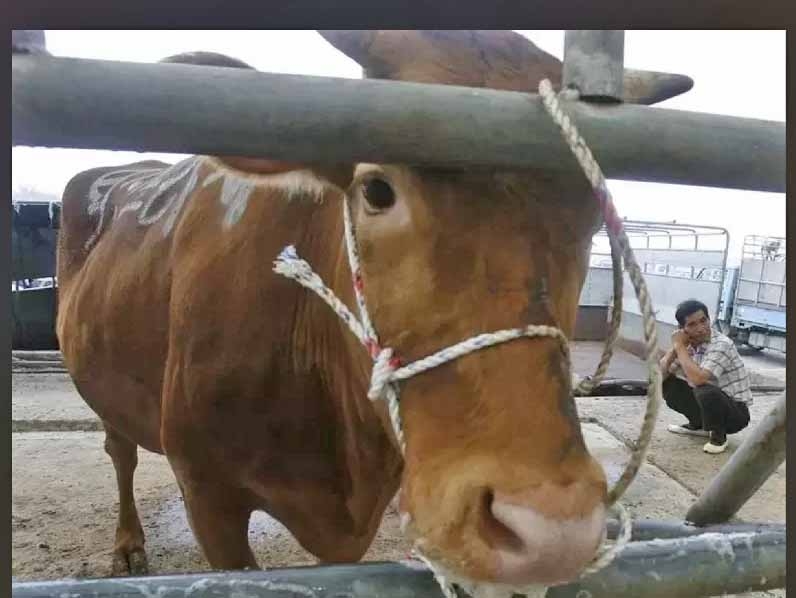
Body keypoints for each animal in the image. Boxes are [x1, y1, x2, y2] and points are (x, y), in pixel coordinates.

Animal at [56, 30, 676, 587]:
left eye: (594, 217)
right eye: (377, 190)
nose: (552, 532)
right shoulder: (207, 495)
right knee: (120, 451)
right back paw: (128, 545)